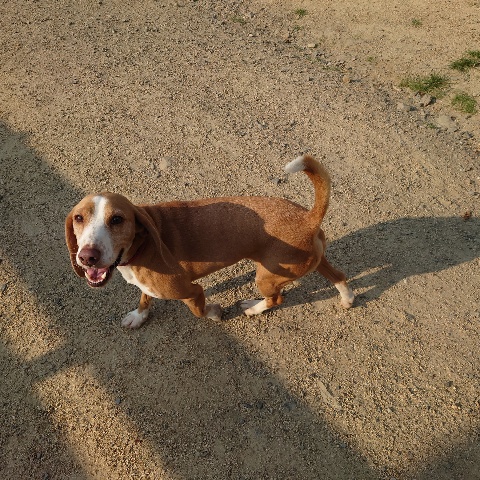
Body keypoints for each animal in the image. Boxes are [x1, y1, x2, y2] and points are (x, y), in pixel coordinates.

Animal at [65, 155, 354, 328]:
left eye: (117, 219)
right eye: (79, 218)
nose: (87, 256)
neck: (143, 243)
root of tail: (308, 217)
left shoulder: (193, 291)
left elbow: (200, 311)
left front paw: (215, 312)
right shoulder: (148, 286)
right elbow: (145, 298)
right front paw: (138, 317)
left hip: (267, 277)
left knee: (277, 300)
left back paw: (252, 308)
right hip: (309, 262)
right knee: (339, 276)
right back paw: (348, 300)